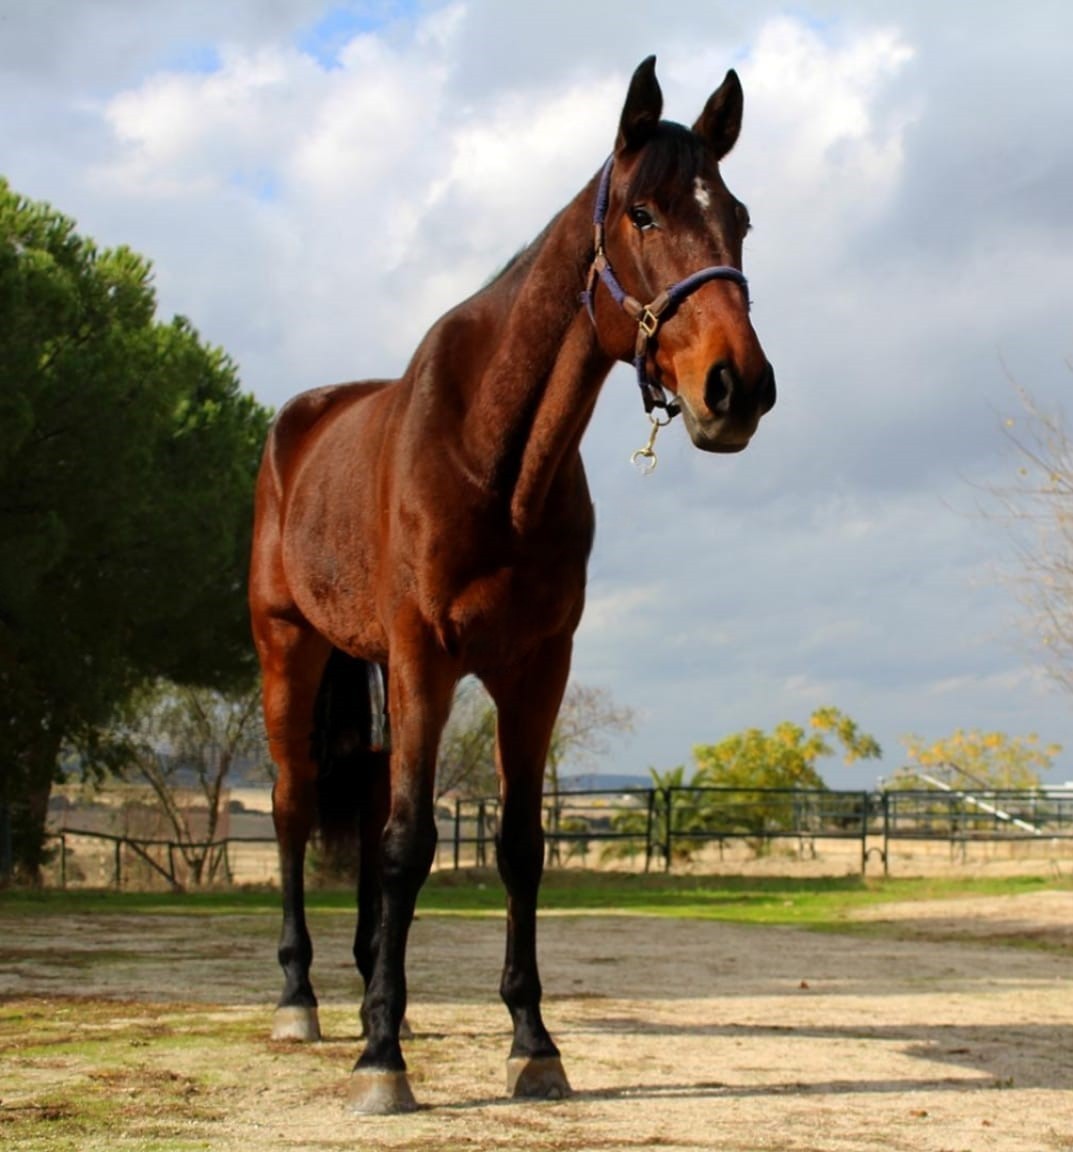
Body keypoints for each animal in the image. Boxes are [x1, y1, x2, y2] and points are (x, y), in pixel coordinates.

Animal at [249, 55, 776, 1114]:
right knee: (292, 808)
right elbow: (411, 844)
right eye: (644, 213)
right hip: (289, 648)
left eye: (738, 217)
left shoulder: (534, 670)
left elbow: (519, 848)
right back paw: (302, 1002)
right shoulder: (425, 658)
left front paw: (531, 1042)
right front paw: (382, 1061)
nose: (736, 387)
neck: (492, 459)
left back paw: (369, 991)